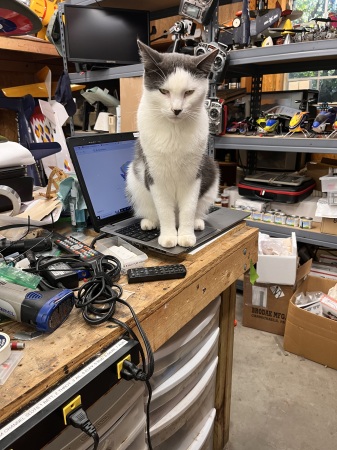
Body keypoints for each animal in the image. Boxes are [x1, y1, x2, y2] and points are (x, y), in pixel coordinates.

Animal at [124, 40, 219, 248]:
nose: (176, 110)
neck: (174, 131)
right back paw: (150, 222)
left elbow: (188, 208)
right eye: (163, 91)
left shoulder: (194, 174)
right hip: (134, 178)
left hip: (212, 172)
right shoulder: (154, 174)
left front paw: (185, 236)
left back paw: (197, 222)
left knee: (197, 208)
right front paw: (168, 236)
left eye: (189, 92)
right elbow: (164, 210)